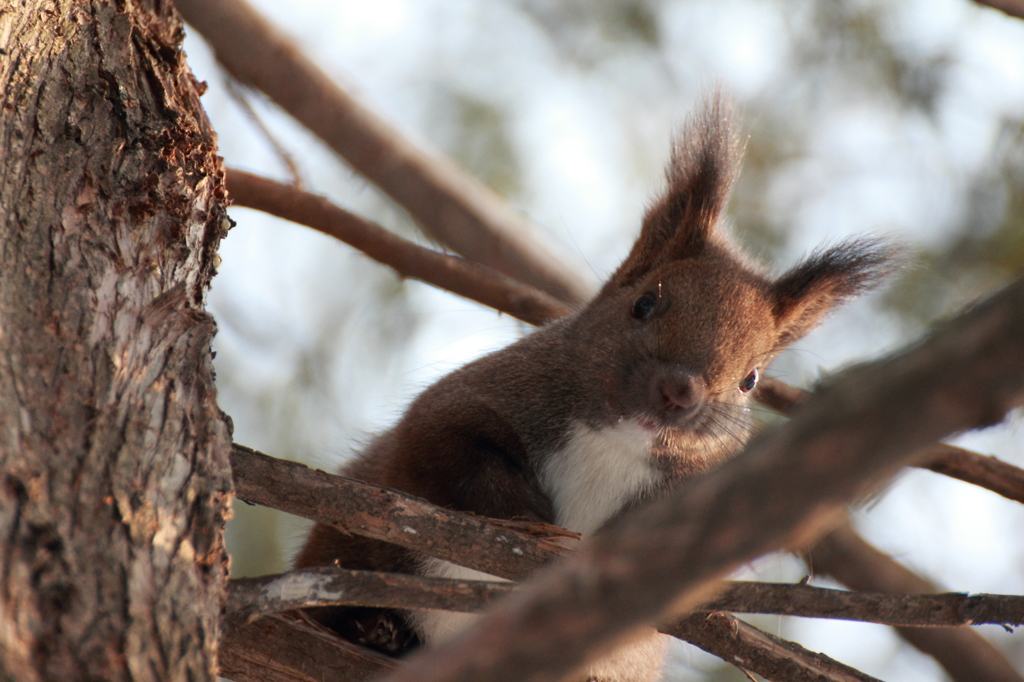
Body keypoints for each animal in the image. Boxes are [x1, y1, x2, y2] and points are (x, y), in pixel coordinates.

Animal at [292, 93, 892, 675]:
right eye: (643, 304)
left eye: (751, 380)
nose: (680, 392)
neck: (616, 443)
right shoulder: (467, 401)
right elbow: (454, 450)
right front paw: (531, 518)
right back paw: (371, 627)